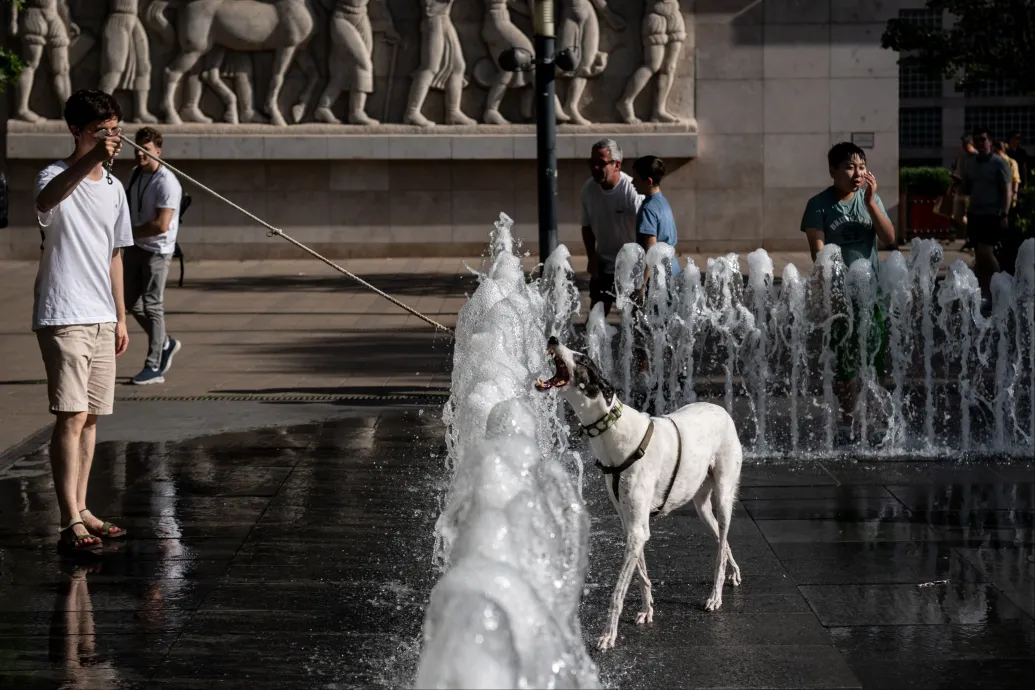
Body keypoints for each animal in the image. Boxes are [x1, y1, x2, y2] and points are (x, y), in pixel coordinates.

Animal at [534, 337, 745, 649]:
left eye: (583, 359)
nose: (552, 339)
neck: (613, 432)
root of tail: (722, 410)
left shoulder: (637, 529)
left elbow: (618, 591)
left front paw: (608, 634)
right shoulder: (632, 525)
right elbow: (642, 575)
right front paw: (647, 610)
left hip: (722, 497)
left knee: (720, 548)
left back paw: (715, 596)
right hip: (702, 507)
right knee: (723, 540)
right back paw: (733, 571)